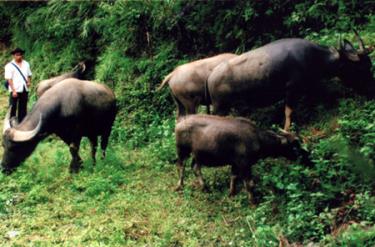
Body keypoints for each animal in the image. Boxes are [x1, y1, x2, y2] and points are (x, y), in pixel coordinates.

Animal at [176, 115, 312, 204]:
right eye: (294, 147)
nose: (308, 159)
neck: (258, 138)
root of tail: (181, 121)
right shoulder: (244, 164)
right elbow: (249, 184)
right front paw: (253, 202)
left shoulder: (235, 164)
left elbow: (234, 177)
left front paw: (231, 194)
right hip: (182, 150)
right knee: (181, 166)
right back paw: (180, 186)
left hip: (198, 155)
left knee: (195, 167)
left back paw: (205, 187)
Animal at [207, 31, 374, 130]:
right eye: (361, 68)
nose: (371, 90)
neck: (314, 57)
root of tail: (210, 77)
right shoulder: (292, 89)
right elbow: (288, 112)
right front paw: (287, 130)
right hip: (220, 108)